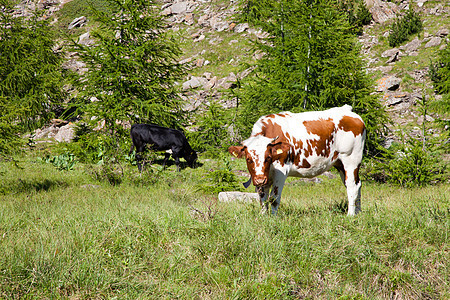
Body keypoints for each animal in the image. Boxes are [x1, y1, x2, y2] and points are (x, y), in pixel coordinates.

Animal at [229, 105, 366, 216]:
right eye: (248, 159)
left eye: (268, 157)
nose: (259, 180)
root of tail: (347, 111)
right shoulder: (264, 176)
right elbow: (263, 198)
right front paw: (263, 217)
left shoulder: (281, 171)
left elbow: (274, 198)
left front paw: (273, 218)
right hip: (339, 163)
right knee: (357, 184)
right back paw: (358, 212)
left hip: (351, 160)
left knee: (352, 186)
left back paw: (350, 215)